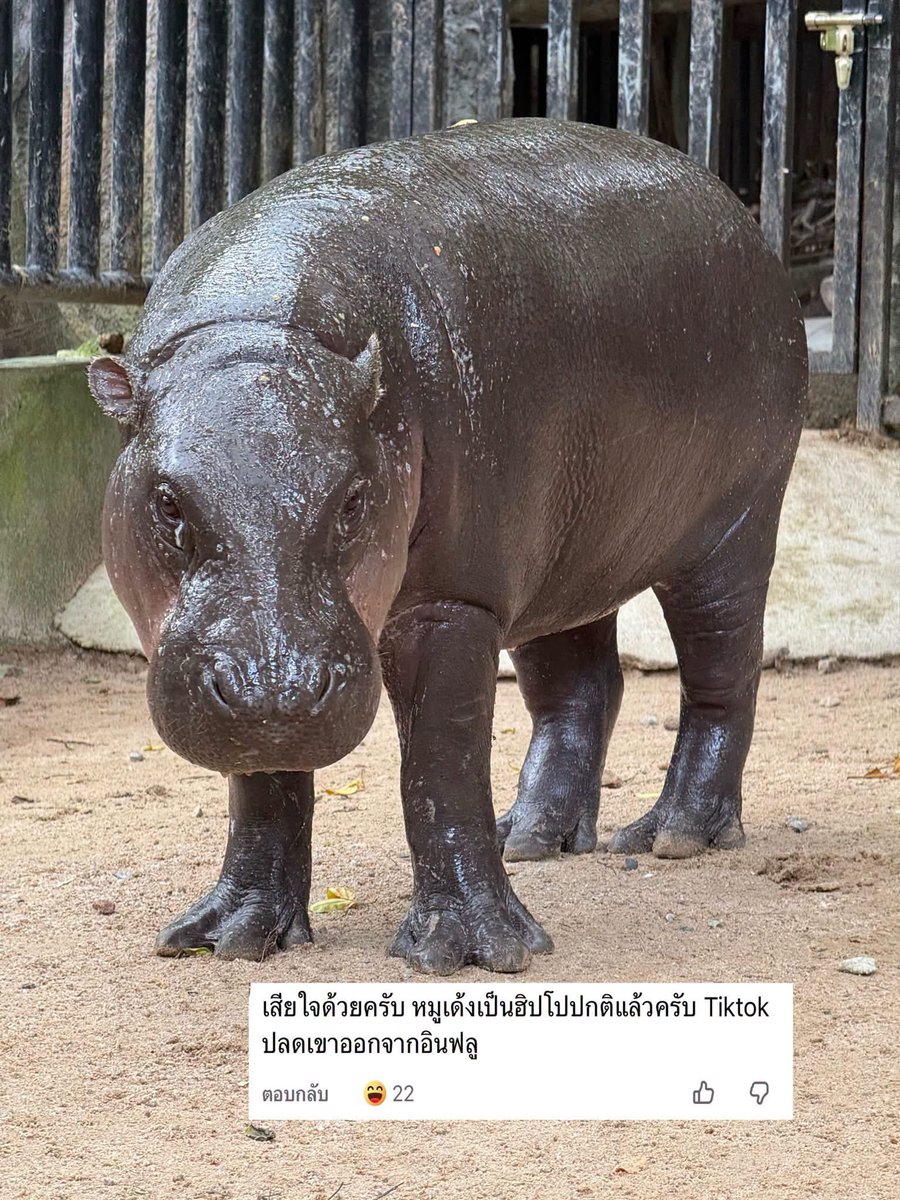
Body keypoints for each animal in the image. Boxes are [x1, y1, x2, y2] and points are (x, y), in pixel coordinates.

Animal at [88, 118, 806, 974]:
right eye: (167, 501)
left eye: (354, 499)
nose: (276, 689)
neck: (261, 332)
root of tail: (741, 216)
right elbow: (263, 781)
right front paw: (229, 936)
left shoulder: (454, 600)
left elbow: (441, 764)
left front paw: (470, 949)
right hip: (558, 557)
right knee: (580, 690)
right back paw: (530, 837)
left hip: (731, 528)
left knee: (723, 672)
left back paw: (673, 835)